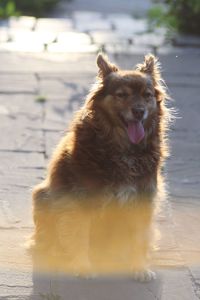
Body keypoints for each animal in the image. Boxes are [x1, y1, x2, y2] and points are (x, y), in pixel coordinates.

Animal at [31, 54, 169, 282]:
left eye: (147, 95)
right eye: (122, 95)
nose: (139, 111)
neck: (123, 148)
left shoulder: (144, 197)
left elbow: (139, 239)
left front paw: (139, 267)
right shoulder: (82, 198)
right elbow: (79, 234)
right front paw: (82, 266)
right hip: (42, 196)